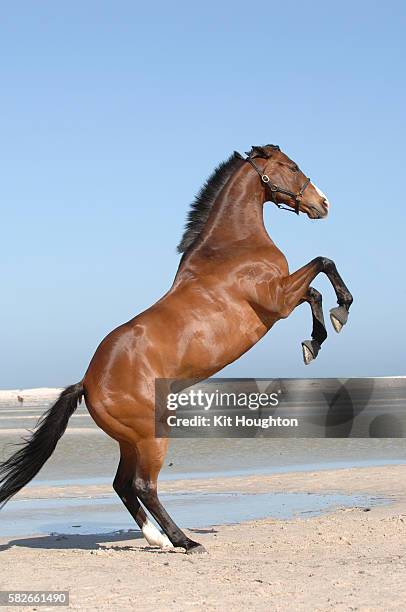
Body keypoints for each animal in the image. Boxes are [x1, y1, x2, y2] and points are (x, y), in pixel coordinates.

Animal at [0, 145, 352, 556]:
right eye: (292, 167)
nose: (323, 204)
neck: (234, 248)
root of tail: (87, 383)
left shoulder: (283, 297)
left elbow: (315, 289)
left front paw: (315, 340)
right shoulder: (277, 299)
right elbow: (322, 265)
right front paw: (338, 315)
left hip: (130, 441)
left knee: (122, 485)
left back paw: (157, 539)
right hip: (150, 436)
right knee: (143, 486)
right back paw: (185, 541)